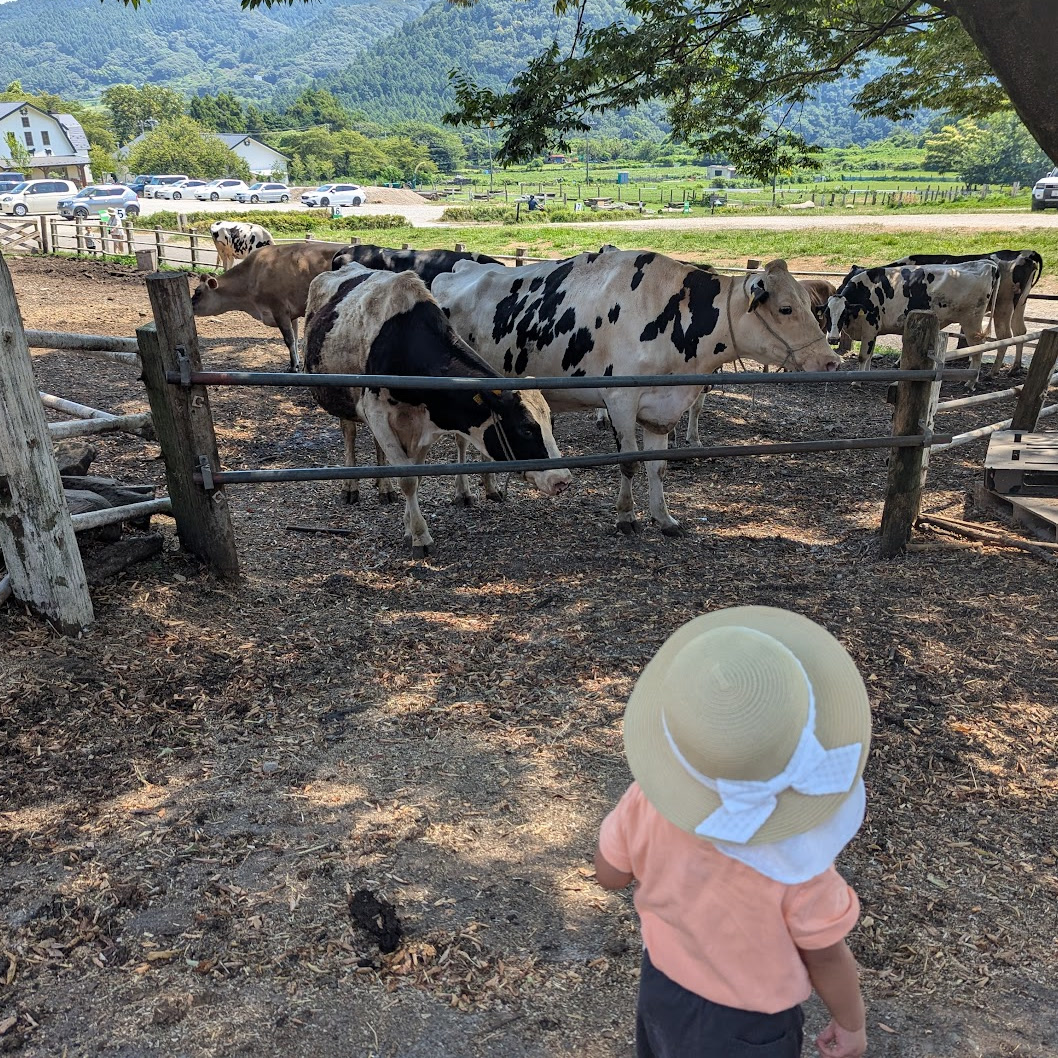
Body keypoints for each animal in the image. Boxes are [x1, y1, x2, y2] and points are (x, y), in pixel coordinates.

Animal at [191, 241, 345, 371]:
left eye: (198, 292)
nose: (190, 305)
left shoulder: (279, 309)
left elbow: (289, 340)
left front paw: (293, 367)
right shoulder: (292, 314)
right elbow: (295, 339)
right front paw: (295, 363)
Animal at [303, 262, 572, 556]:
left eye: (551, 424)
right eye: (525, 429)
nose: (562, 479)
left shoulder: (423, 424)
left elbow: (415, 475)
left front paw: (409, 528)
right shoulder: (376, 413)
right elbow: (408, 479)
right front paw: (421, 537)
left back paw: (384, 487)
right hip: (343, 398)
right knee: (349, 434)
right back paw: (351, 487)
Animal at [432, 250, 840, 536]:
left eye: (811, 307)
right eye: (785, 308)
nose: (831, 360)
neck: (671, 314)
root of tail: (455, 271)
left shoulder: (661, 409)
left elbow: (657, 466)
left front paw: (664, 518)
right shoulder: (621, 401)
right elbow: (628, 462)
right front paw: (626, 516)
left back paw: (490, 488)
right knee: (461, 440)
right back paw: (465, 492)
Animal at [825, 260, 999, 375]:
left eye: (843, 314)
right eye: (827, 314)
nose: (833, 339)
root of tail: (987, 264)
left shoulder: (870, 326)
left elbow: (863, 357)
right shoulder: (873, 331)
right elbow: (869, 355)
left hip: (971, 322)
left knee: (977, 348)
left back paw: (970, 381)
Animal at [885, 250, 1043, 374]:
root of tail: (1027, 253)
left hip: (1004, 305)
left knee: (1004, 336)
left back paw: (992, 372)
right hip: (1020, 303)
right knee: (1020, 331)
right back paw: (1014, 368)